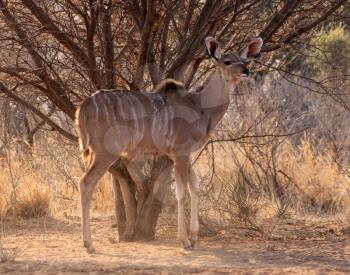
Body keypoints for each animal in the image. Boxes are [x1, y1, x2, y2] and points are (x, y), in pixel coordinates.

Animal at [76, 35, 262, 253]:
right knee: (85, 182)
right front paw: (185, 241)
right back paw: (89, 244)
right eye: (227, 61)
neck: (200, 107)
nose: (246, 71)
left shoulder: (182, 153)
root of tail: (84, 106)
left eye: (245, 60)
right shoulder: (180, 151)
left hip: (94, 153)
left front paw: (194, 237)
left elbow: (195, 185)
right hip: (107, 152)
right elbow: (181, 191)